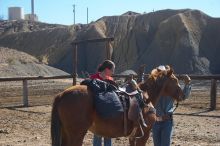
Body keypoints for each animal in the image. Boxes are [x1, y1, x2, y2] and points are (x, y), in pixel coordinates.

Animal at [50, 66, 183, 146]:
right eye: (175, 80)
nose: (182, 95)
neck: (146, 97)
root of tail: (62, 94)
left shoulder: (133, 136)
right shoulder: (144, 134)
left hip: (65, 132)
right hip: (76, 134)